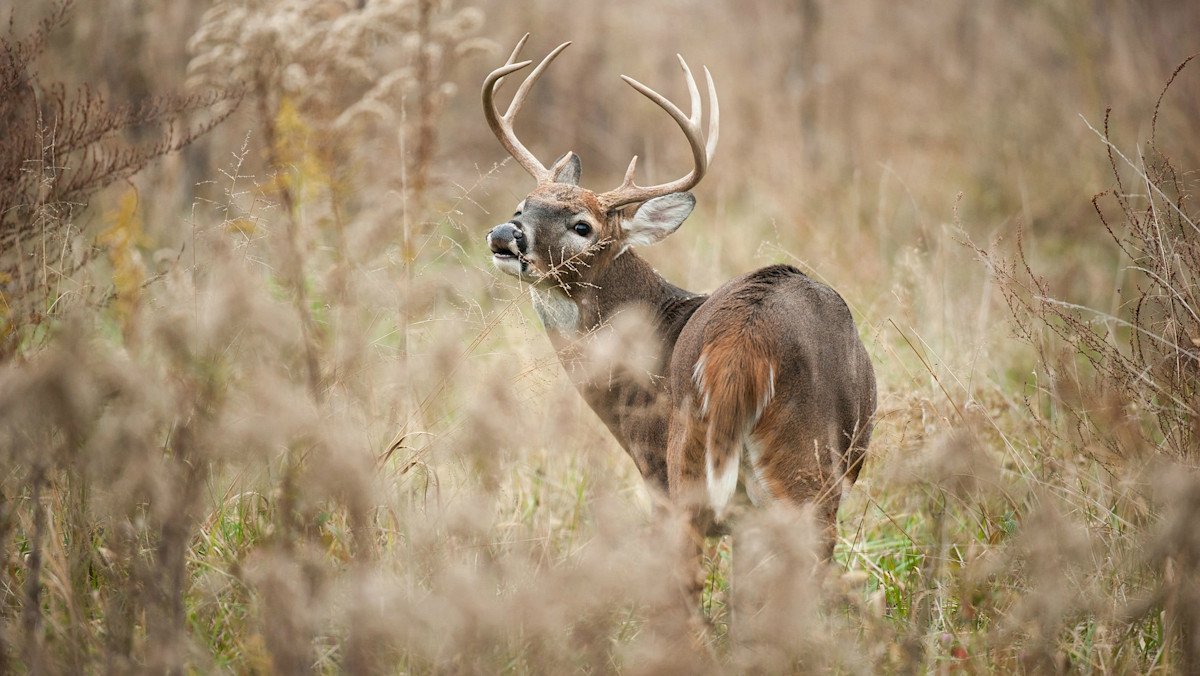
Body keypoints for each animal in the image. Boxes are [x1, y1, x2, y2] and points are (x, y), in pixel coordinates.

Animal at [482, 35, 877, 627]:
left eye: (583, 226)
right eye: (522, 204)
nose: (505, 235)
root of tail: (743, 345)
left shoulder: (655, 474)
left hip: (723, 468)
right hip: (774, 470)